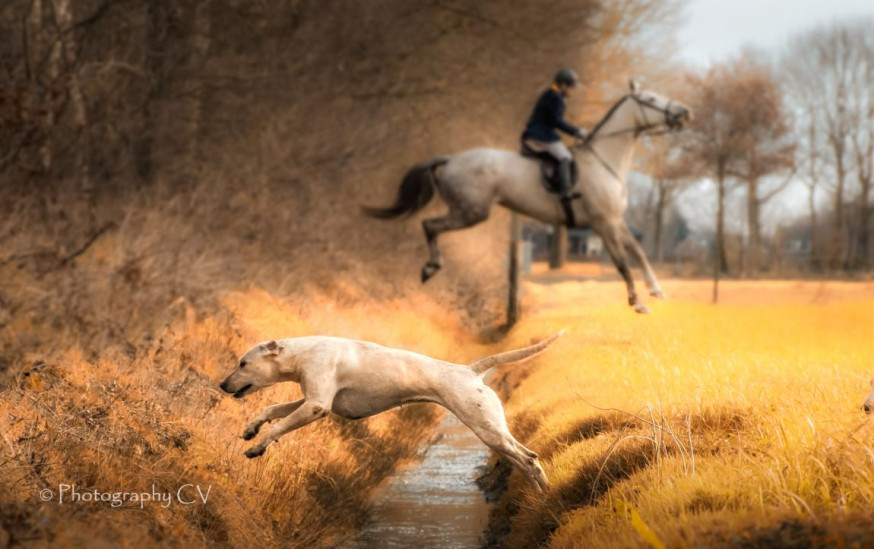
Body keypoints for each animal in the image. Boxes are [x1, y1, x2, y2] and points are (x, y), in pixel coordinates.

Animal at [218, 332, 560, 490]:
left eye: (243, 363)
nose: (222, 384)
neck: (304, 352)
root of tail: (470, 370)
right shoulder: (312, 400)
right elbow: (272, 409)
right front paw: (251, 428)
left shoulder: (316, 406)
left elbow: (278, 425)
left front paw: (258, 446)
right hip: (494, 435)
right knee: (526, 460)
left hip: (487, 430)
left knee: (529, 458)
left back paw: (543, 493)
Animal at [362, 80, 688, 312]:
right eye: (651, 100)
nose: (685, 113)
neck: (604, 159)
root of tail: (451, 159)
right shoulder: (603, 223)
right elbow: (621, 261)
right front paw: (638, 303)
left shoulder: (616, 221)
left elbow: (639, 252)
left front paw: (656, 289)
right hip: (471, 212)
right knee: (429, 225)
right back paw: (430, 268)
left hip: (467, 212)